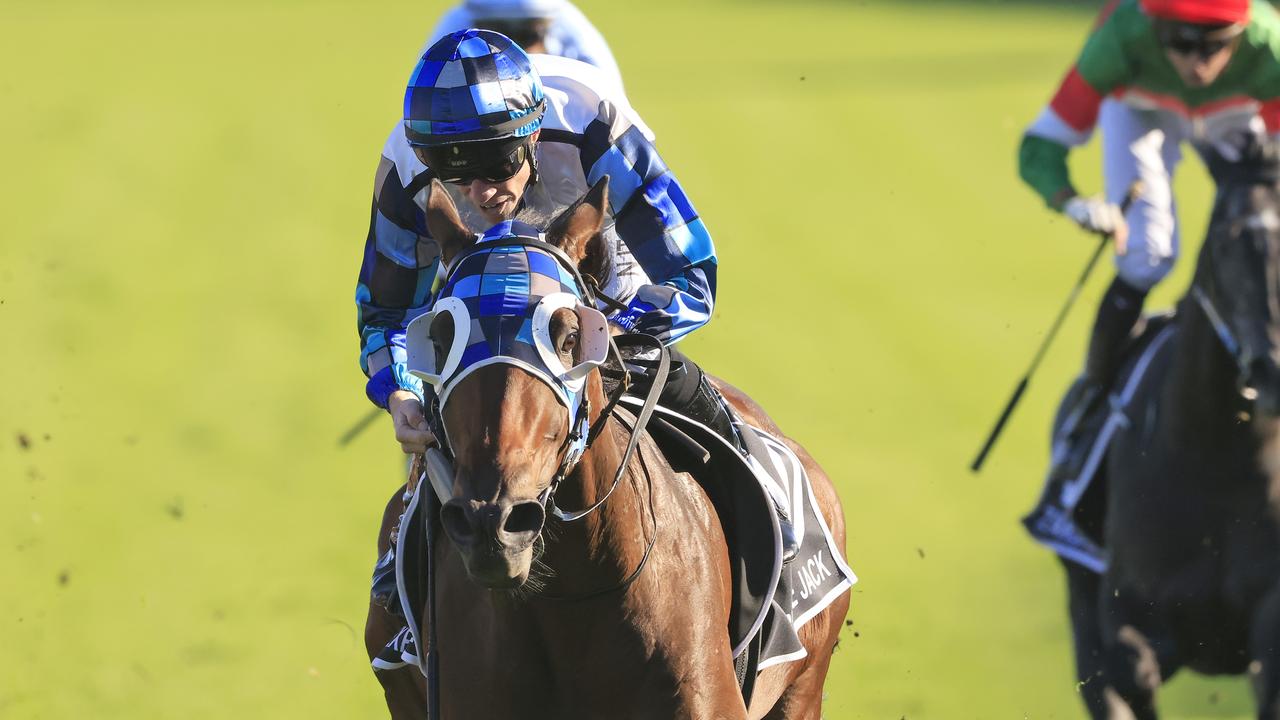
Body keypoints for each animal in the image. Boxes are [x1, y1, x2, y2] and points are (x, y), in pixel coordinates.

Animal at [1059, 141, 1280, 717]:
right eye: (1227, 240)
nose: (1273, 369)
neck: (1221, 463)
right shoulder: (1127, 611)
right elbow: (1133, 668)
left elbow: (1268, 673)